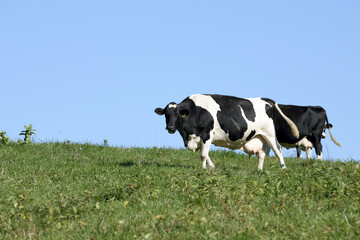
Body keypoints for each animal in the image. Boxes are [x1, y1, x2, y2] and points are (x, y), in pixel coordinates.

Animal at [154, 94, 298, 171]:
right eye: (166, 114)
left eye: (178, 115)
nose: (170, 127)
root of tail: (265, 99)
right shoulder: (198, 138)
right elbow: (205, 153)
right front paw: (212, 167)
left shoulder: (207, 135)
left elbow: (203, 155)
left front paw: (203, 169)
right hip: (259, 136)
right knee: (262, 154)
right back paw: (259, 170)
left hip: (269, 134)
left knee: (278, 149)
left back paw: (283, 168)